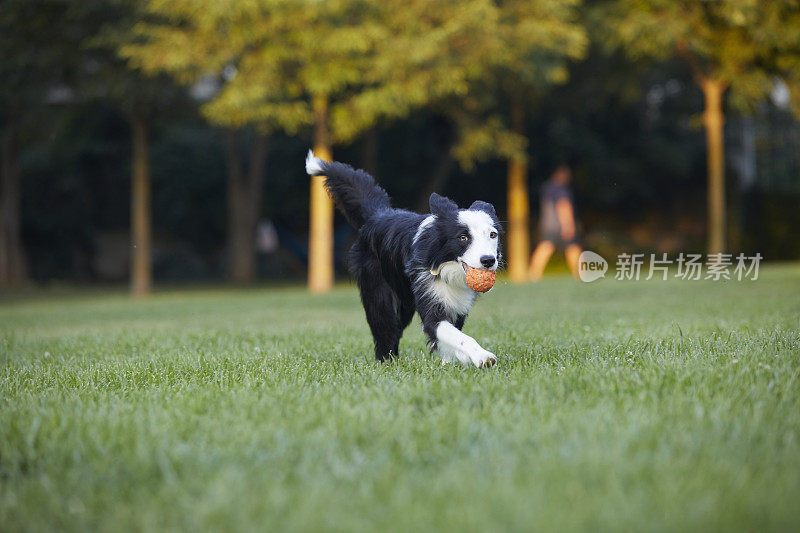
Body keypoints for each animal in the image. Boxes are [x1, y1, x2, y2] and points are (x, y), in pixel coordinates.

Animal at [306, 150, 500, 366]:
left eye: (492, 234)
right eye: (463, 237)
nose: (488, 260)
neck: (445, 264)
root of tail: (379, 214)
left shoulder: (456, 305)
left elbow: (452, 338)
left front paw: (450, 363)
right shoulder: (430, 302)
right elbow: (457, 336)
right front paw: (483, 357)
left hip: (404, 299)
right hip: (379, 292)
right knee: (386, 329)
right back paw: (386, 361)